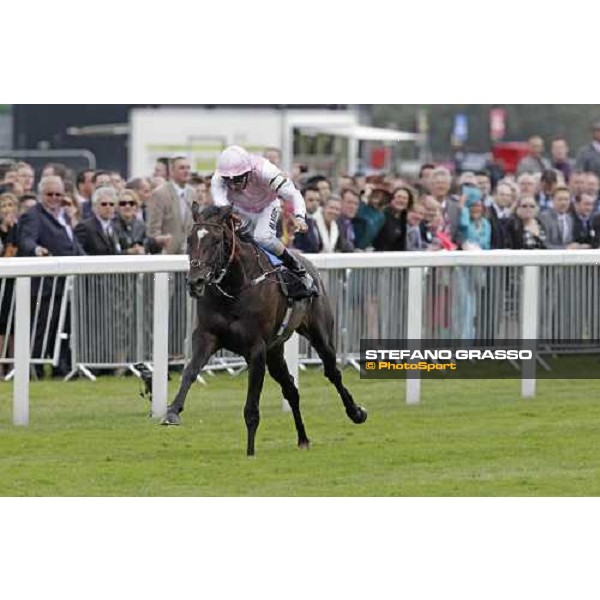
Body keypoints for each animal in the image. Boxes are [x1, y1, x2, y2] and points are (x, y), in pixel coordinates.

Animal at [165, 205, 370, 454]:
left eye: (215, 240)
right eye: (189, 239)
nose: (195, 282)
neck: (235, 288)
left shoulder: (256, 349)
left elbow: (251, 407)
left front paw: (250, 452)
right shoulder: (207, 336)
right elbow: (190, 372)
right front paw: (172, 411)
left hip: (319, 335)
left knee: (332, 372)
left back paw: (356, 412)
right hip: (275, 352)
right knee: (291, 389)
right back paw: (303, 438)